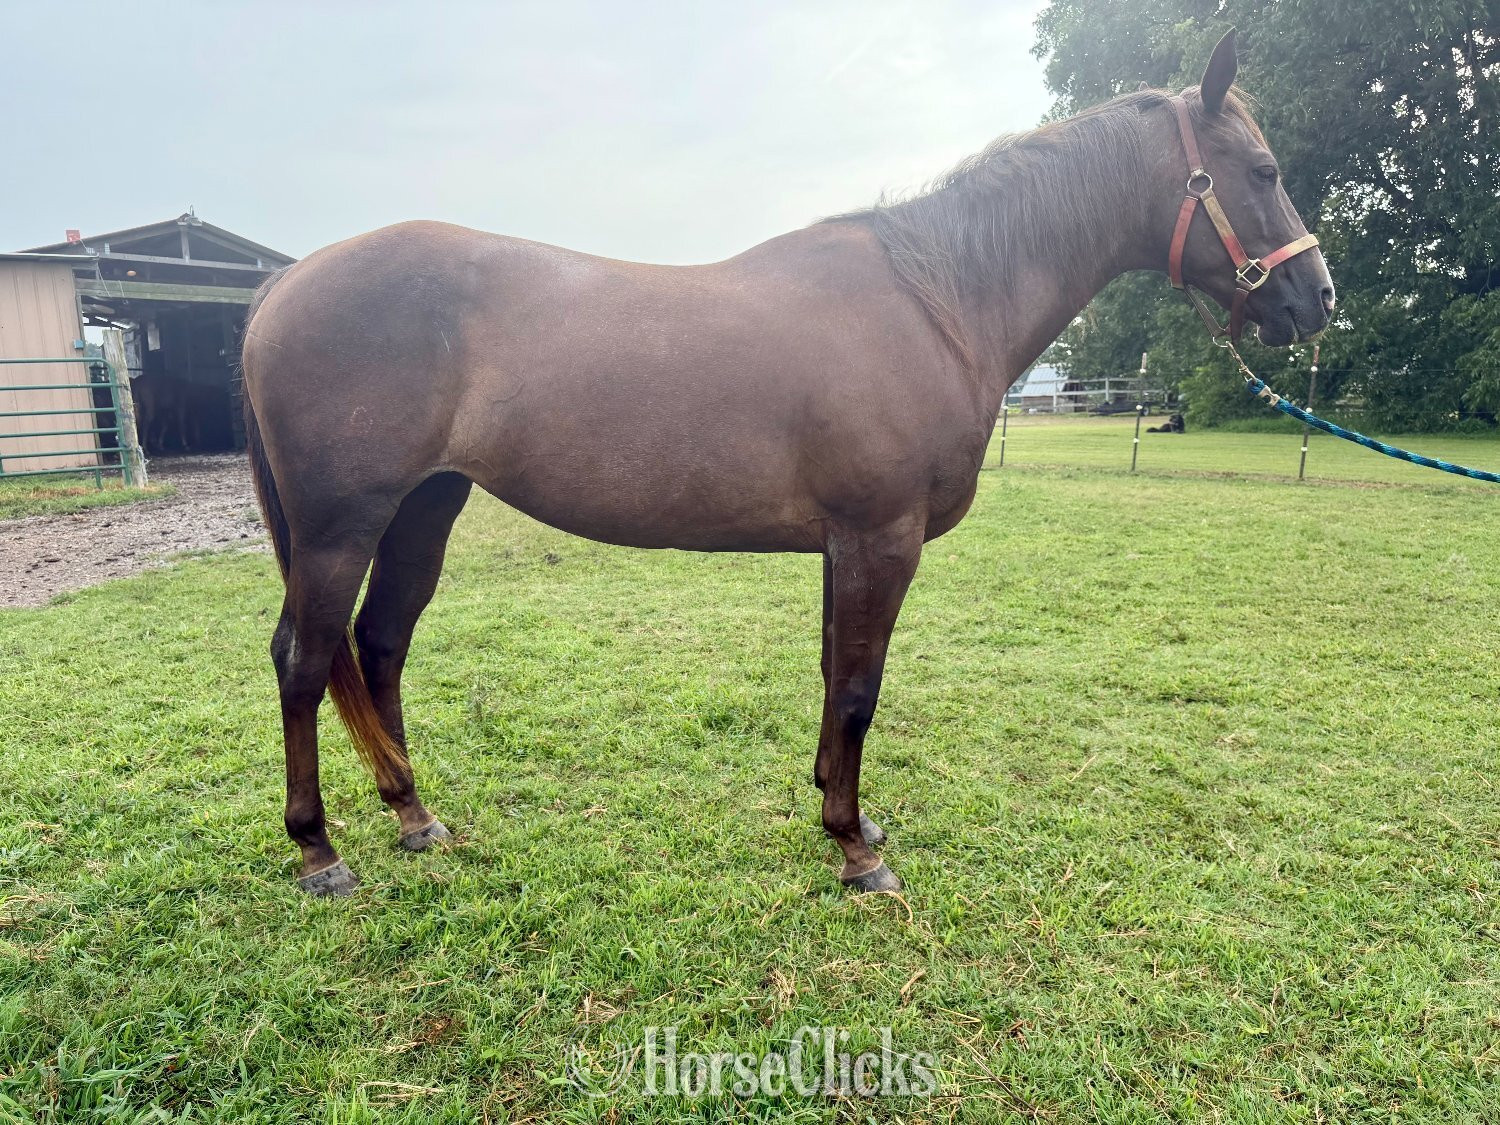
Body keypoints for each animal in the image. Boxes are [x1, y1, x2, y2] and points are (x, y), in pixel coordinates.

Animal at [242, 29, 1334, 896]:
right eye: (1263, 169)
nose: (1316, 299)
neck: (938, 297)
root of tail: (284, 285)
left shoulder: (844, 546)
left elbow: (831, 671)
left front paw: (844, 813)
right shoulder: (881, 539)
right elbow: (858, 687)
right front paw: (855, 851)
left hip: (425, 508)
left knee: (379, 645)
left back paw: (414, 816)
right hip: (342, 525)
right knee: (304, 657)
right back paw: (319, 853)